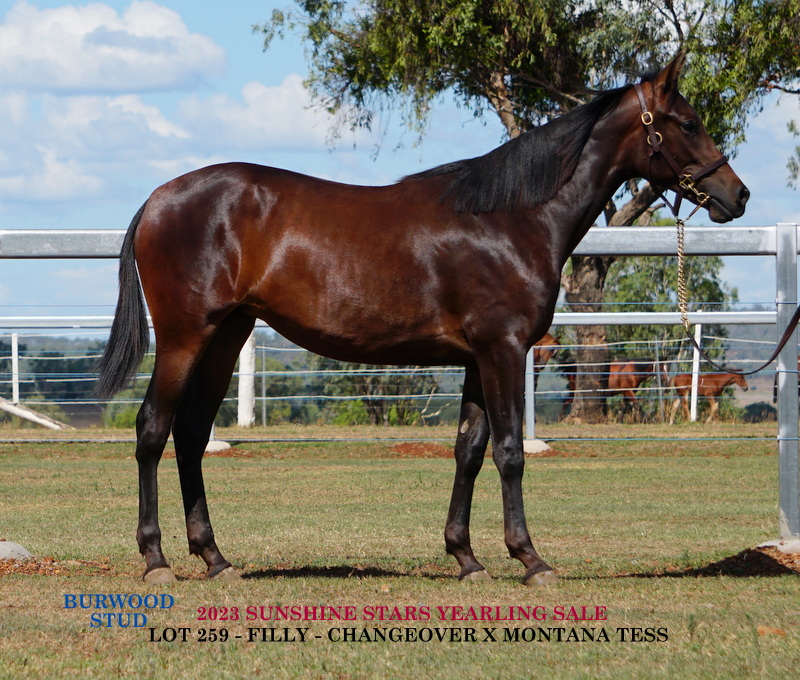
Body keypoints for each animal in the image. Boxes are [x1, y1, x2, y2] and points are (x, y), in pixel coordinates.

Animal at [94, 53, 748, 586]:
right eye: (688, 123)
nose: (736, 195)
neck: (513, 218)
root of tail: (158, 199)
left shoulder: (477, 358)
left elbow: (469, 450)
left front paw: (467, 558)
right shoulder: (504, 349)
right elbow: (509, 451)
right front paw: (530, 559)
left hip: (226, 337)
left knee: (190, 435)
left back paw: (215, 558)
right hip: (185, 337)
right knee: (152, 429)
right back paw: (156, 560)